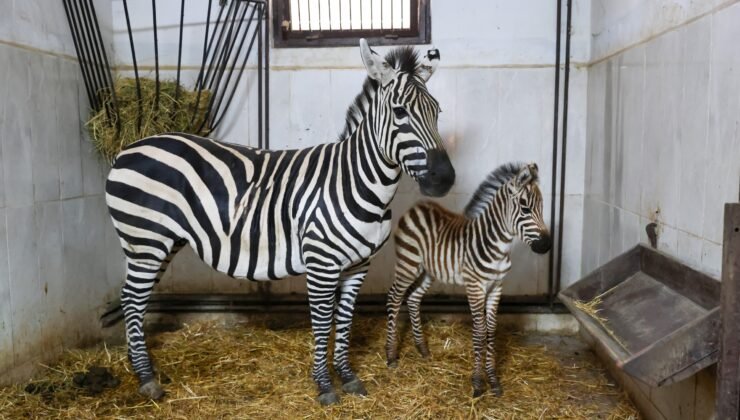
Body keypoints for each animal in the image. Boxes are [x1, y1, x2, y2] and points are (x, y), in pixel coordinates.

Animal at [105, 39, 455, 405]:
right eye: (400, 112)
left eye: (437, 112)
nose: (444, 179)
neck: (357, 180)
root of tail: (129, 147)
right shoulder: (321, 263)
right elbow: (323, 321)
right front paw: (324, 385)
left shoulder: (359, 265)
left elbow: (345, 319)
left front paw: (348, 377)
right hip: (146, 240)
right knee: (132, 299)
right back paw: (146, 379)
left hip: (161, 242)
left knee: (134, 298)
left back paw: (139, 366)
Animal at [385, 162, 550, 398]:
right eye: (525, 208)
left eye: (542, 207)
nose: (546, 246)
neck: (497, 246)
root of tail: (416, 207)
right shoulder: (475, 287)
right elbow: (480, 332)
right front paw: (478, 382)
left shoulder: (496, 287)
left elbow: (491, 330)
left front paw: (493, 380)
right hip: (408, 265)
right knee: (394, 298)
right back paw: (390, 356)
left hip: (428, 271)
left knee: (413, 299)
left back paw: (422, 349)